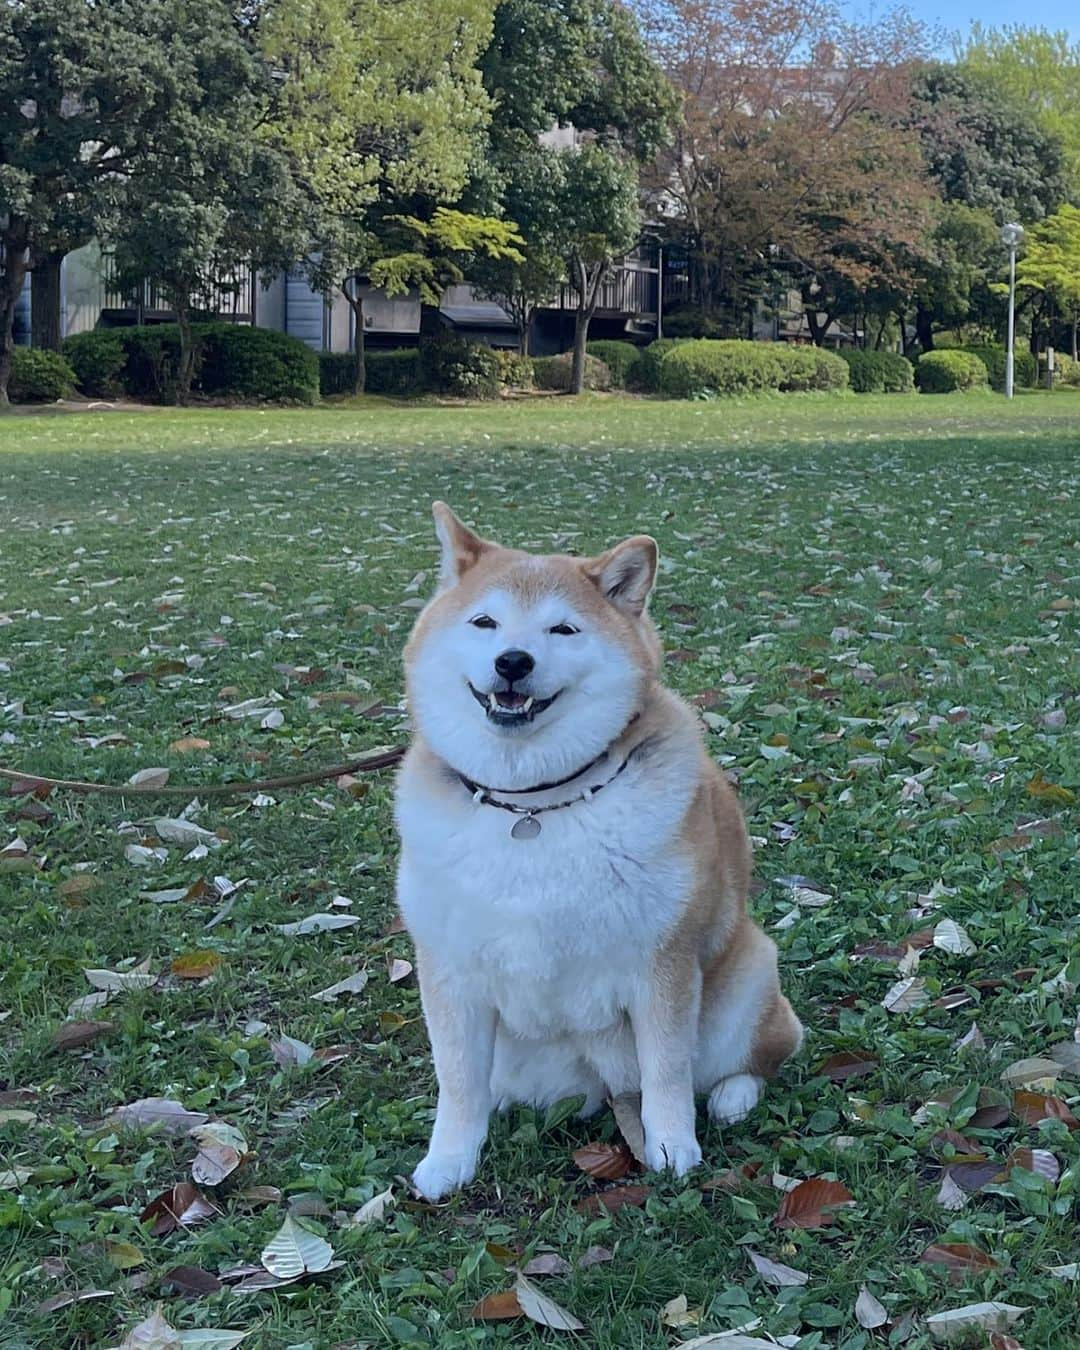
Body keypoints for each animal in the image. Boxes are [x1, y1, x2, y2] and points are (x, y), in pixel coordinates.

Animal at [396, 502, 799, 1198]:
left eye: (563, 628)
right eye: (484, 622)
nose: (513, 661)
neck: (533, 806)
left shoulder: (661, 965)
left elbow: (667, 1070)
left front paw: (671, 1148)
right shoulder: (451, 970)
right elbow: (458, 1080)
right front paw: (449, 1159)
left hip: (747, 978)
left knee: (752, 1058)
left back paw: (733, 1097)